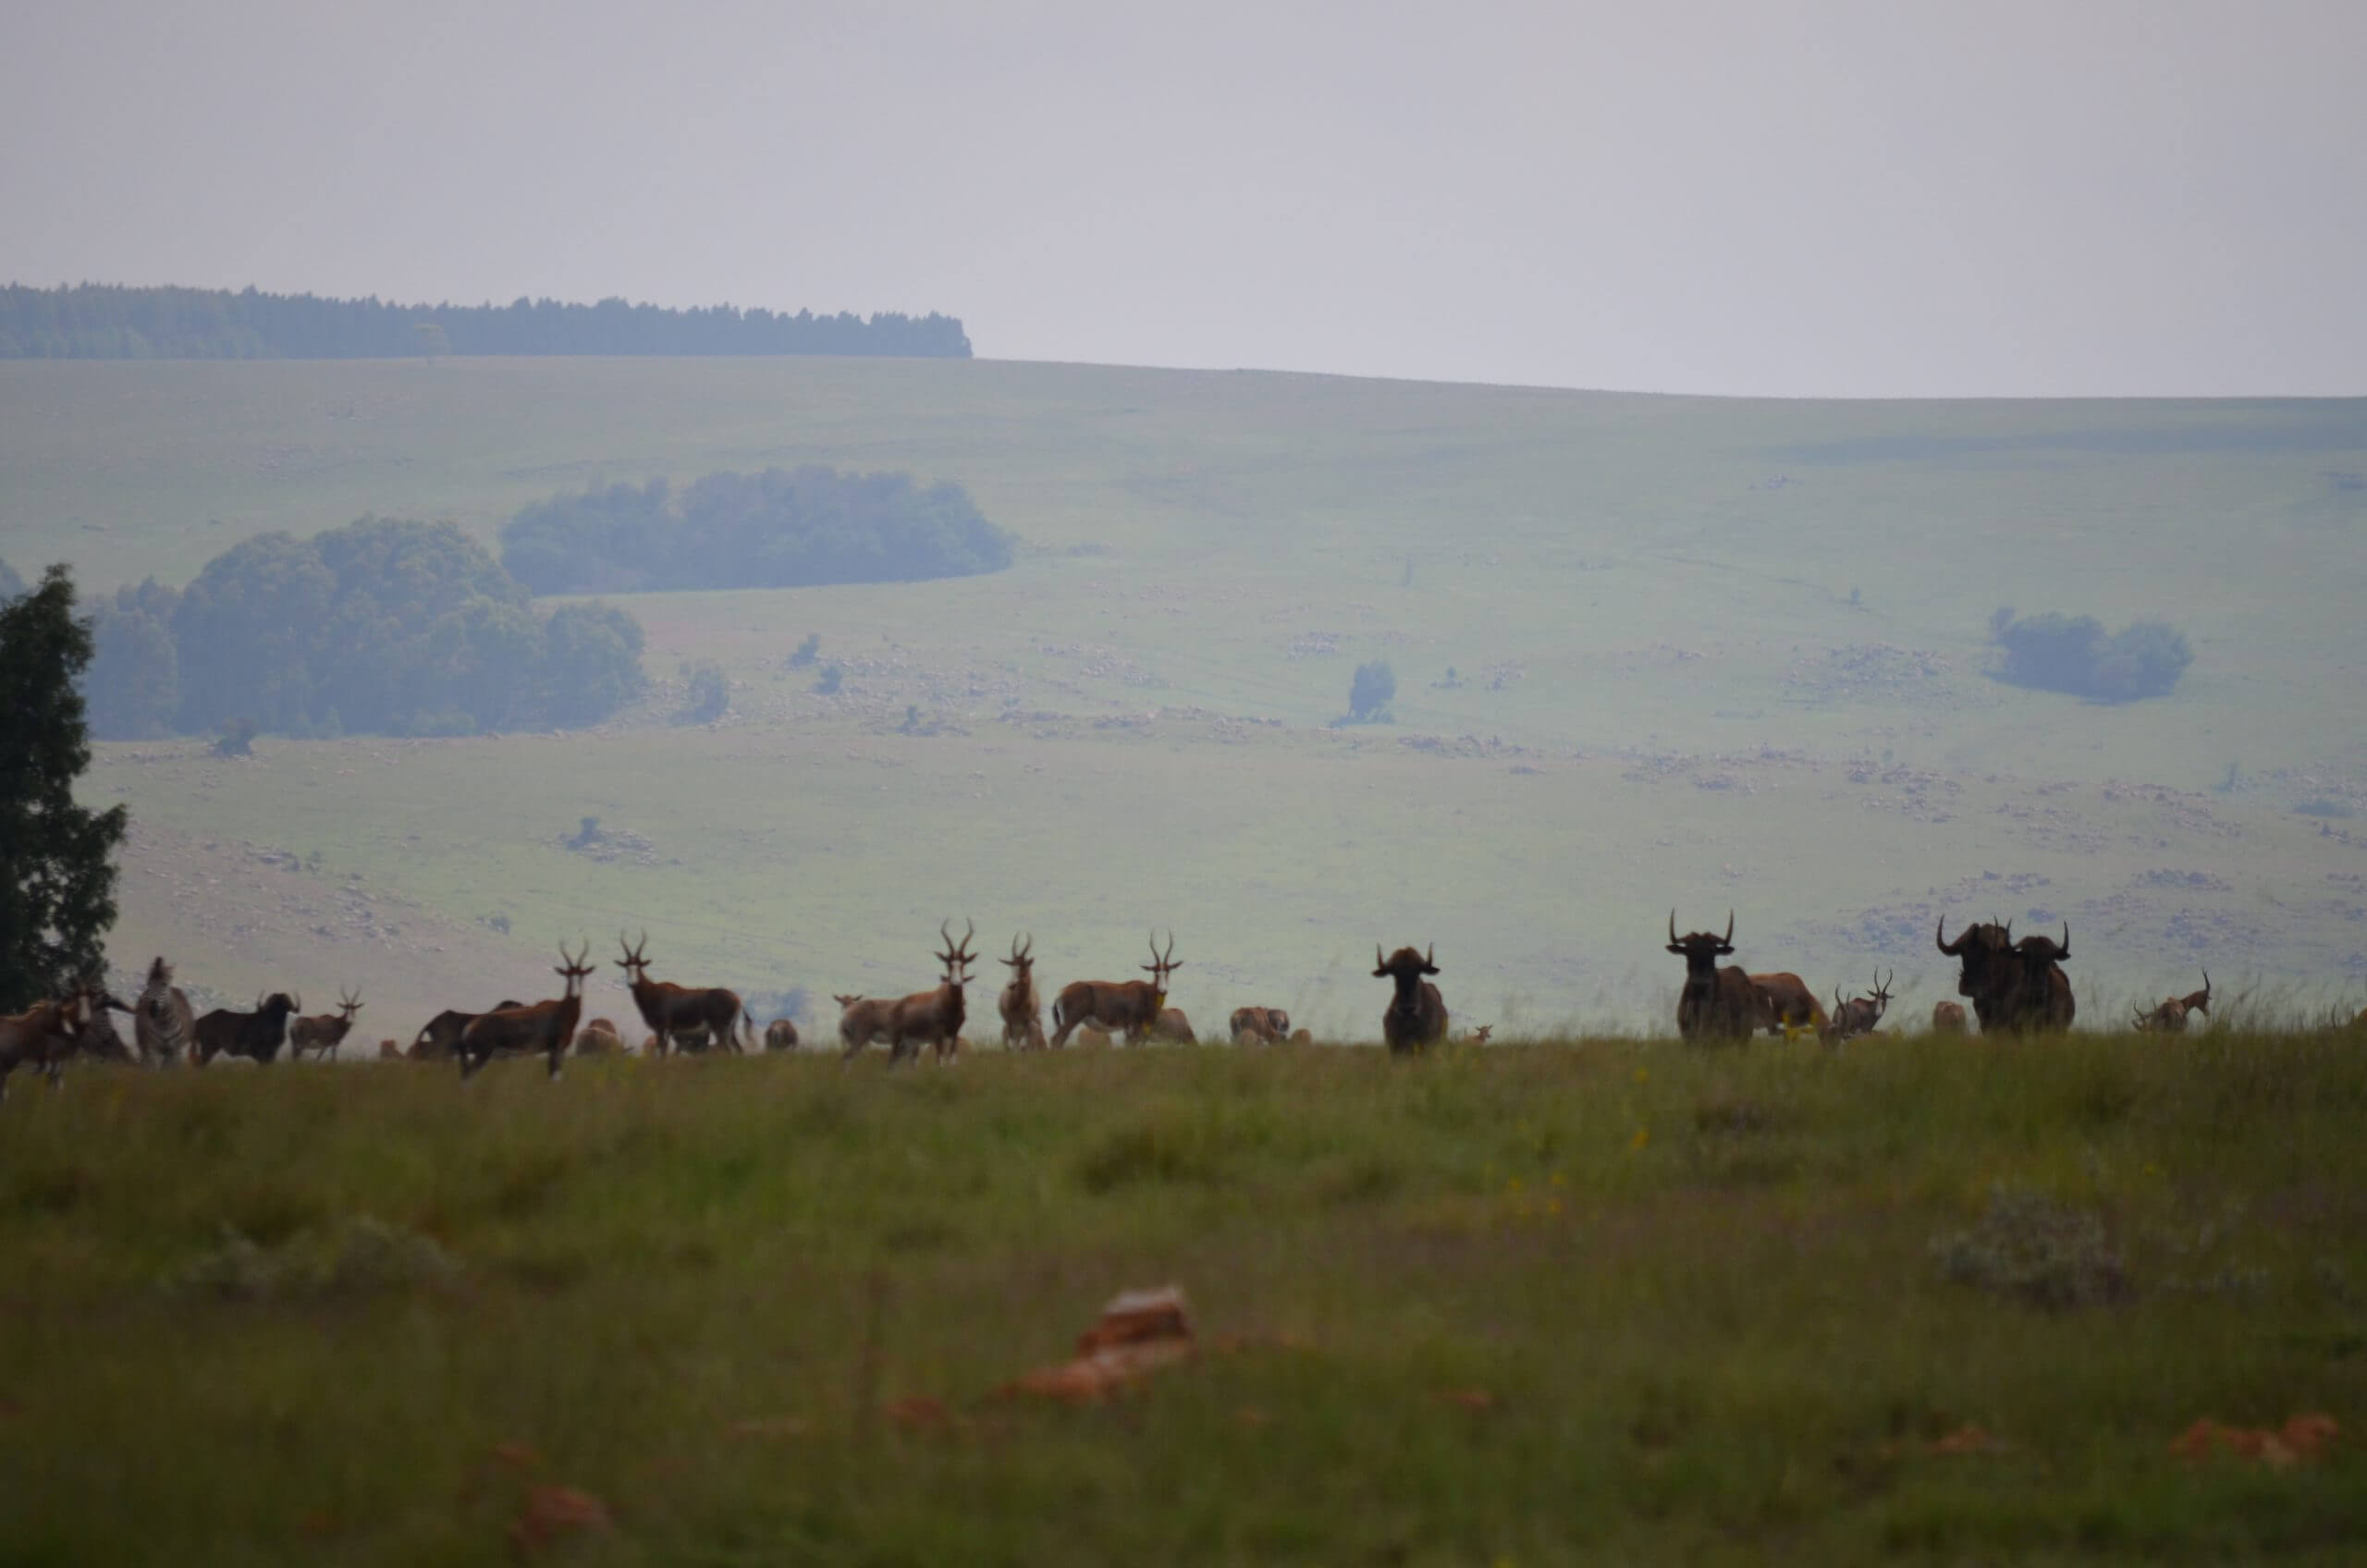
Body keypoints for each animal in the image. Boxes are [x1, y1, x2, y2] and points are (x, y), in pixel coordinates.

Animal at [457, 943, 597, 1080]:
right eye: (568, 975)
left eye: (581, 975)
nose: (575, 994)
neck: (561, 1009)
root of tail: (470, 1026)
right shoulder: (556, 1049)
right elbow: (555, 1078)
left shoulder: (555, 1051)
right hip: (483, 1054)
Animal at [617, 933, 747, 1053]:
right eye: (627, 967)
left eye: (638, 967)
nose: (632, 983)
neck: (654, 991)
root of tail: (737, 999)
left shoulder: (662, 1028)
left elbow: (662, 1052)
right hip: (730, 1031)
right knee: (739, 1050)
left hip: (719, 1029)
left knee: (727, 1050)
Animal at [885, 920, 978, 1064]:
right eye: (948, 964)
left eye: (963, 964)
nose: (956, 983)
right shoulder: (938, 1035)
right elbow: (941, 1060)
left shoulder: (954, 1033)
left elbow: (952, 1060)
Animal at [1049, 932, 1182, 1048]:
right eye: (1155, 972)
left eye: (1168, 971)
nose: (1162, 990)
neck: (1146, 991)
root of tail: (1061, 994)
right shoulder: (1134, 1027)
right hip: (1071, 1021)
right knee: (1057, 1040)